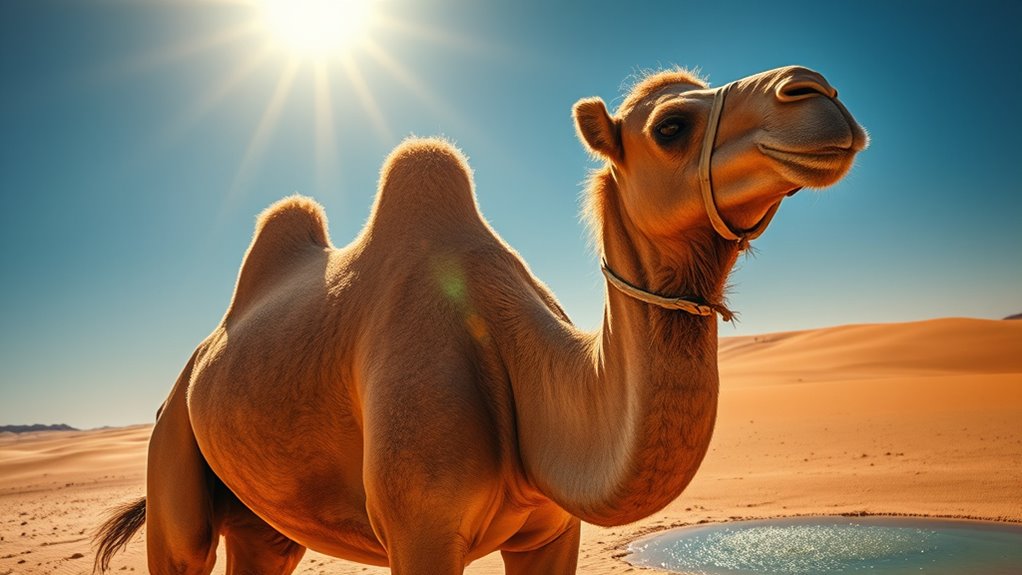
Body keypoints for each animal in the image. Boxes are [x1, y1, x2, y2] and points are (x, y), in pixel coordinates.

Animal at [95, 65, 867, 574]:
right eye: (671, 126)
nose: (817, 92)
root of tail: (187, 371)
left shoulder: (552, 532)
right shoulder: (420, 532)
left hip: (263, 521)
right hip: (172, 460)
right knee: (182, 544)